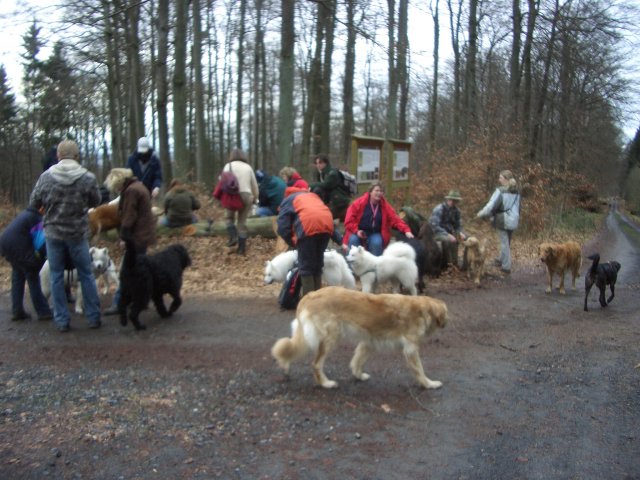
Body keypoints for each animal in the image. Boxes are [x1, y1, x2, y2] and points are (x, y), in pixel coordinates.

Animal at [272, 284, 448, 390]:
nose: (446, 323)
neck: (422, 310)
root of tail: (309, 295)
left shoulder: (369, 342)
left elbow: (357, 361)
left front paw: (358, 375)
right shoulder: (410, 349)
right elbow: (420, 369)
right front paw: (429, 384)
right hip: (330, 338)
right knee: (315, 364)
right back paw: (326, 383)